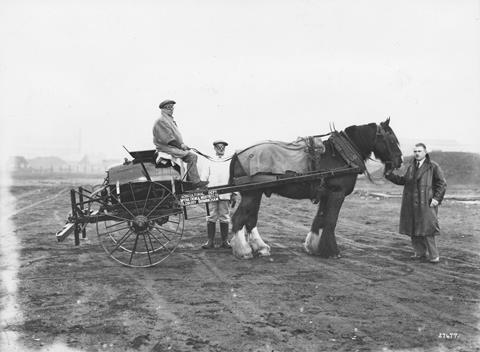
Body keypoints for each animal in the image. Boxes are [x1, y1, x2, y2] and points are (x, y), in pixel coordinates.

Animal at [228, 118, 402, 258]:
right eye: (392, 139)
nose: (399, 161)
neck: (341, 156)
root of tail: (238, 154)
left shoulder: (326, 195)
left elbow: (320, 220)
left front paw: (313, 246)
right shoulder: (337, 194)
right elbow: (331, 221)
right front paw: (332, 251)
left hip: (256, 194)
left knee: (250, 220)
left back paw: (260, 248)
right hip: (251, 194)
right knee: (239, 219)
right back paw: (244, 251)